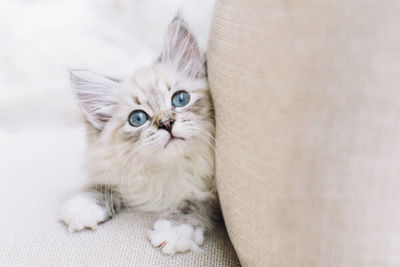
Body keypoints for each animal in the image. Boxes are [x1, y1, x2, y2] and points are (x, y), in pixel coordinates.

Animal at [57, 15, 217, 255]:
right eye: (138, 118)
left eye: (180, 99)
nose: (166, 123)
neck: (173, 168)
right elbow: (106, 186)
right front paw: (84, 206)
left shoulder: (214, 194)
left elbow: (194, 203)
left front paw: (175, 230)